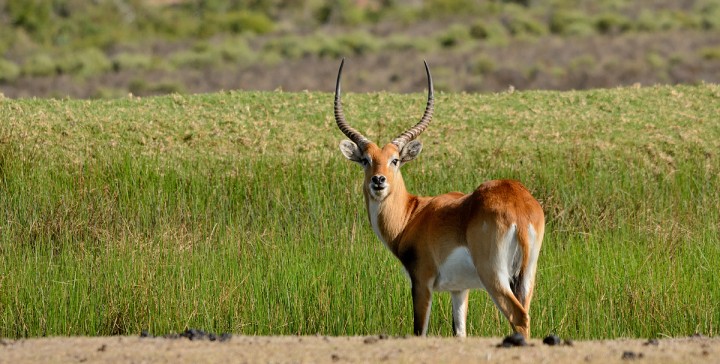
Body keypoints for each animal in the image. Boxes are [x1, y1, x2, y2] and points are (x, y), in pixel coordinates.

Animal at [334, 59, 544, 338]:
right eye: (366, 160)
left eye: (395, 160)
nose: (378, 181)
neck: (412, 214)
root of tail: (518, 205)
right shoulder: (459, 289)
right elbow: (459, 332)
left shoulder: (421, 281)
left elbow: (419, 330)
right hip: (526, 276)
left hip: (493, 275)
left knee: (518, 317)